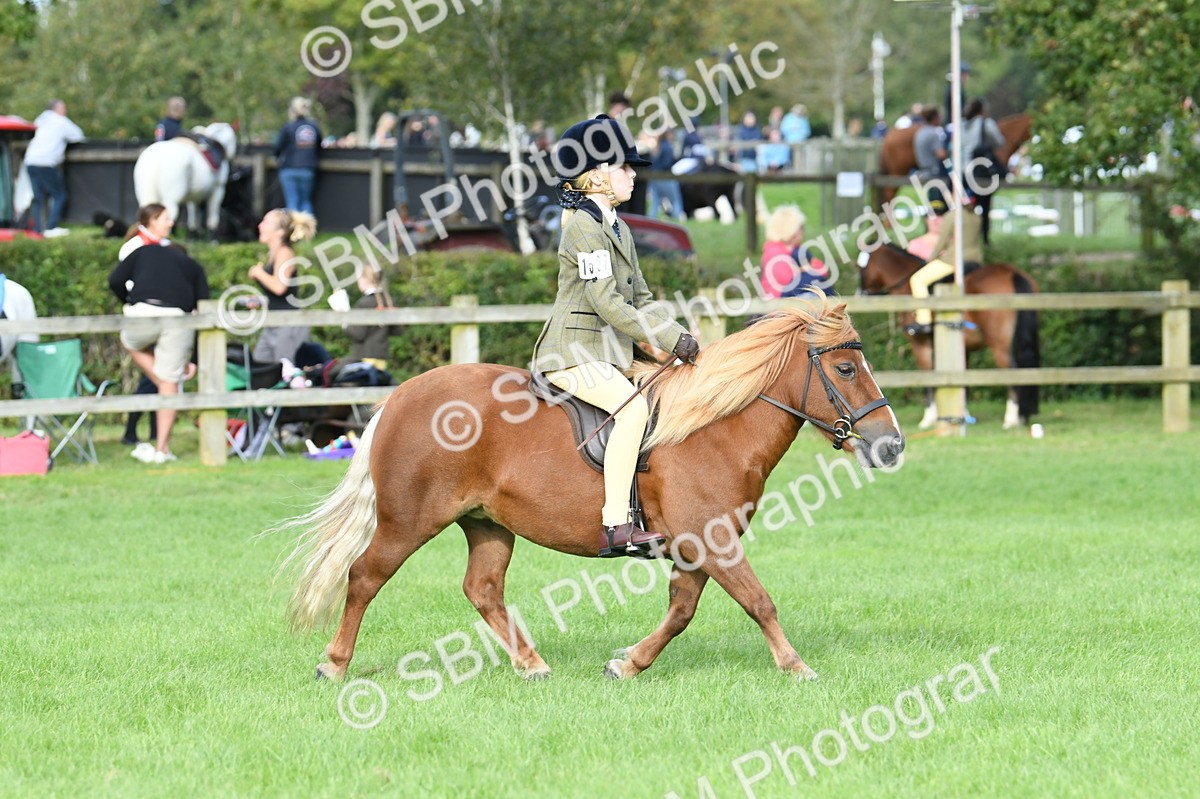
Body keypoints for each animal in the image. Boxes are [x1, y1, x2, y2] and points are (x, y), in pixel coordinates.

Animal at [279, 301, 904, 684]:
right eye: (846, 370)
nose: (891, 445)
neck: (714, 427)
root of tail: (400, 396)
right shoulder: (712, 539)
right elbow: (759, 602)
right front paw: (797, 667)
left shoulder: (697, 545)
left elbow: (682, 611)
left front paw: (629, 664)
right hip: (410, 520)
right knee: (364, 576)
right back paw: (334, 665)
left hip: (487, 522)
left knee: (482, 589)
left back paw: (531, 663)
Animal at [858, 243, 1040, 429]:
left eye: (862, 268)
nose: (861, 294)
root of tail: (1013, 273)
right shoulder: (963, 349)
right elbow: (963, 383)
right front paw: (962, 415)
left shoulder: (921, 346)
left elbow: (928, 379)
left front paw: (928, 418)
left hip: (999, 346)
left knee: (1014, 372)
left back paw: (1011, 419)